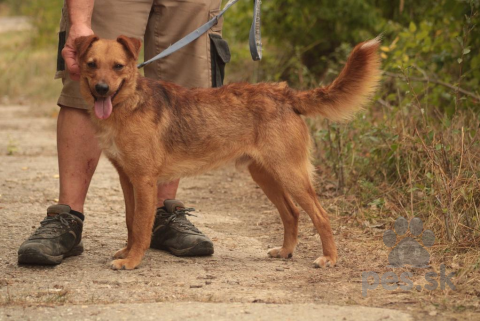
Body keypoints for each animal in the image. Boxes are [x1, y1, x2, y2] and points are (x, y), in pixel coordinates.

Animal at [75, 34, 380, 270]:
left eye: (118, 66)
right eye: (91, 65)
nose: (101, 89)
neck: (128, 104)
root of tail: (284, 93)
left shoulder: (144, 181)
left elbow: (140, 226)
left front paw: (133, 260)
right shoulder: (128, 180)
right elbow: (130, 222)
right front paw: (128, 252)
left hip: (290, 175)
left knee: (321, 215)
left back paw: (329, 258)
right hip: (266, 176)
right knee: (291, 213)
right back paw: (285, 251)